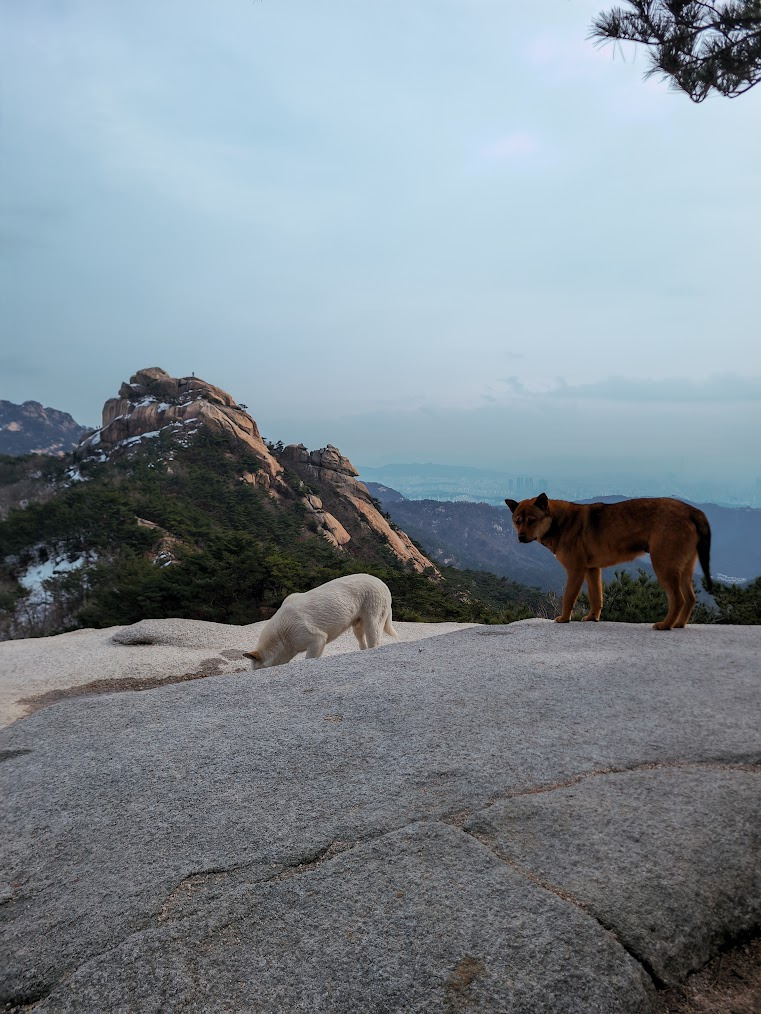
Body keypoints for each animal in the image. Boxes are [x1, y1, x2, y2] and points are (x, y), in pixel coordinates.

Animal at [244, 575, 399, 669]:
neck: (281, 637)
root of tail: (383, 584)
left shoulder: (315, 639)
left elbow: (309, 657)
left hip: (372, 618)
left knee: (374, 639)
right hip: (357, 625)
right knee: (361, 641)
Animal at [507, 494, 714, 628]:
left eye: (532, 520)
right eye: (517, 521)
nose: (521, 537)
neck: (558, 521)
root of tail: (692, 511)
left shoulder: (576, 570)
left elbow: (568, 597)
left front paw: (564, 619)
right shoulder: (592, 570)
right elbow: (596, 596)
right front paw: (592, 617)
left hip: (664, 565)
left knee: (678, 599)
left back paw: (666, 625)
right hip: (684, 568)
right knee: (690, 598)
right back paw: (679, 624)